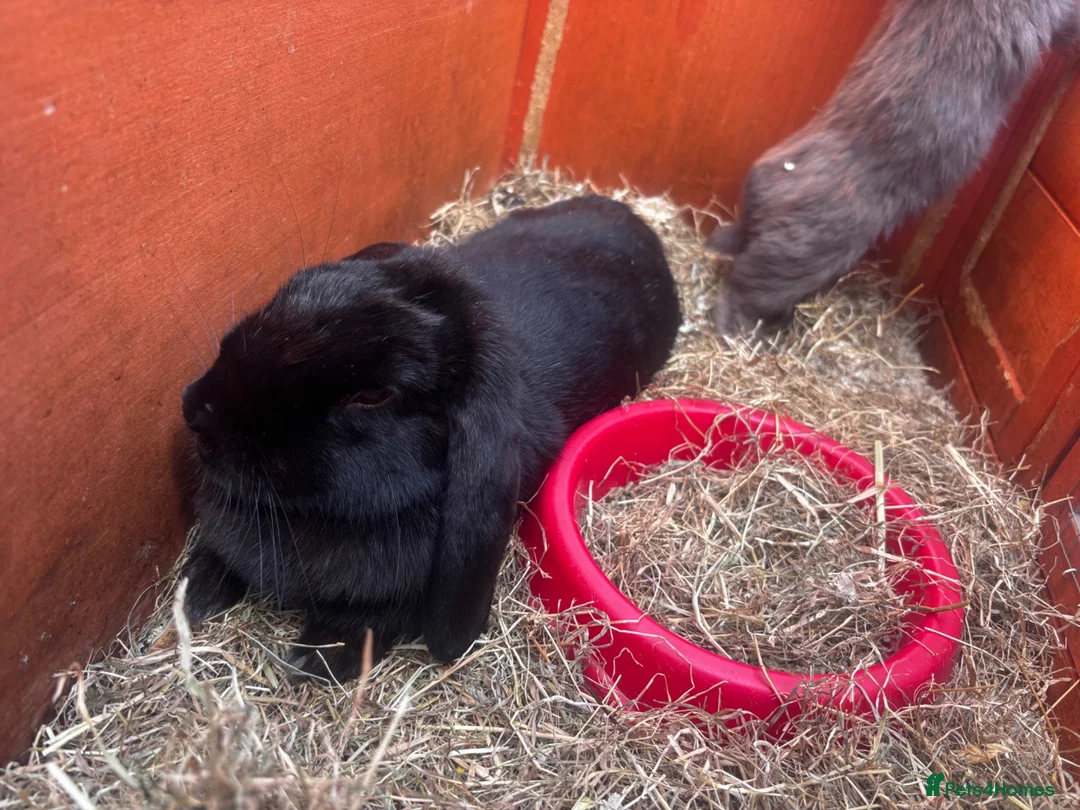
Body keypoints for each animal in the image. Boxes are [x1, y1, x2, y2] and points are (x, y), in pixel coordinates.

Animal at [179, 195, 682, 682]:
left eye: (372, 395)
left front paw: (315, 660)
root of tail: (638, 222)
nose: (196, 409)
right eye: (290, 290)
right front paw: (192, 596)